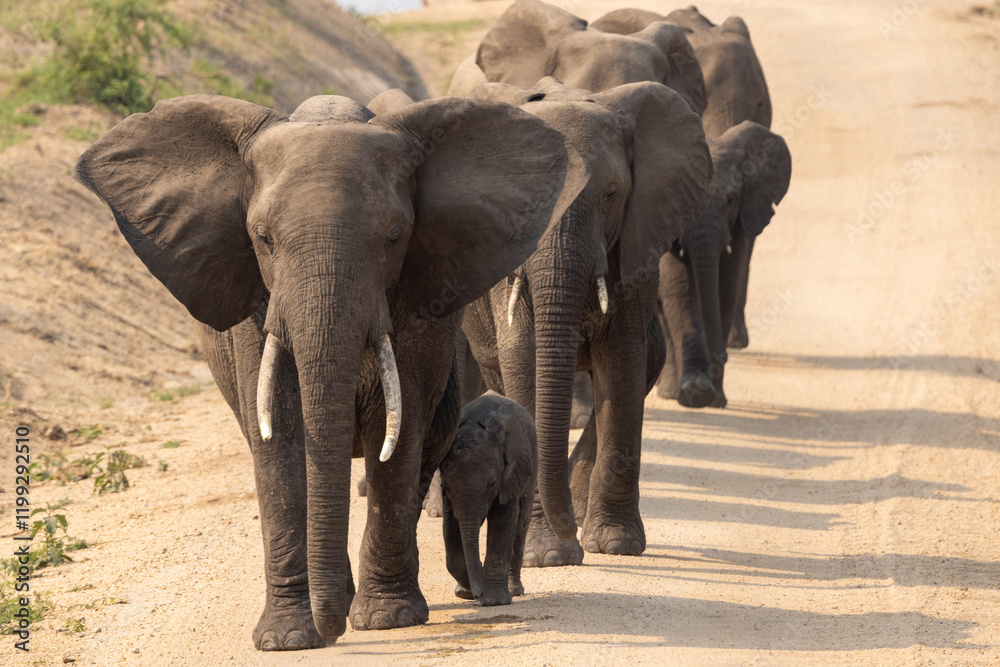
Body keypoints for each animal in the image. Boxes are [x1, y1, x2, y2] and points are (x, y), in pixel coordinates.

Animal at [440, 392, 535, 606]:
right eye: (447, 486)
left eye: (491, 484)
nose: (478, 596)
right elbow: (451, 525)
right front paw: (466, 592)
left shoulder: (509, 476)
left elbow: (503, 520)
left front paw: (493, 601)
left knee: (521, 522)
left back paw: (514, 591)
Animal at [657, 121, 791, 407]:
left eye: (730, 200)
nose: (725, 356)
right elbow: (678, 284)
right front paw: (695, 391)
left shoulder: (743, 216)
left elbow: (728, 284)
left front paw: (714, 398)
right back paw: (670, 391)